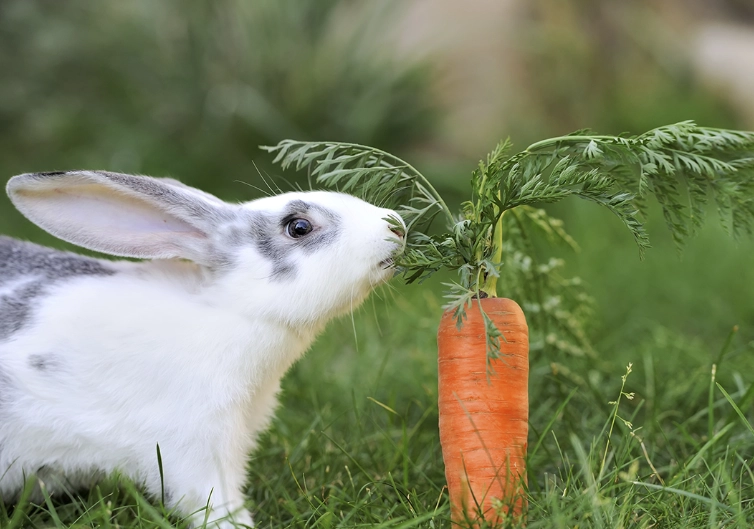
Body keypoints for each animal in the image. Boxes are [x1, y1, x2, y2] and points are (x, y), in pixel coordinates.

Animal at [0, 170, 406, 528]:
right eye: (298, 226)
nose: (397, 226)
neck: (229, 310)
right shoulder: (195, 447)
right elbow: (213, 501)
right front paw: (237, 525)